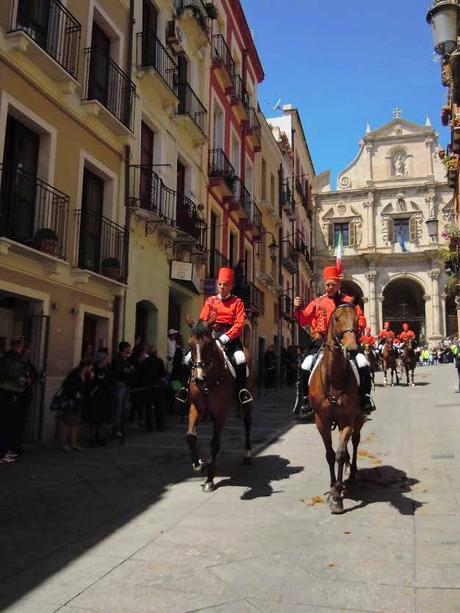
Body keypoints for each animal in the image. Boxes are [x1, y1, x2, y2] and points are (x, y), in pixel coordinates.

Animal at [185, 316, 253, 492]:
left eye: (209, 344)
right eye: (190, 345)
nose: (198, 378)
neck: (209, 381)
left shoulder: (220, 413)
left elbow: (215, 444)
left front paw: (209, 479)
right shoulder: (195, 409)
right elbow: (191, 436)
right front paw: (199, 464)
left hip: (247, 402)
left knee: (247, 423)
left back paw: (247, 455)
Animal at [310, 304, 366, 512]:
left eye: (357, 320)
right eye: (336, 319)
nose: (352, 350)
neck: (333, 379)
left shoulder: (347, 420)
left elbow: (340, 454)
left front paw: (337, 495)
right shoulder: (321, 421)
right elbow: (330, 454)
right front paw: (333, 487)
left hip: (360, 418)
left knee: (355, 441)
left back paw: (353, 473)